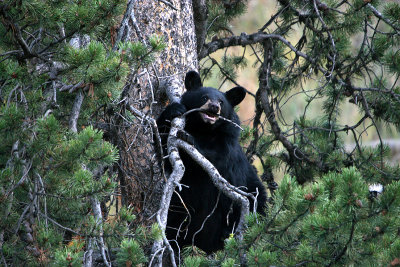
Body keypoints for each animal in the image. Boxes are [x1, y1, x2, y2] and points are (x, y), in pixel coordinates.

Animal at [156, 70, 266, 253]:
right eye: (204, 97)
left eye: (221, 101)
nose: (214, 107)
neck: (204, 130)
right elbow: (161, 148)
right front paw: (173, 110)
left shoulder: (227, 142)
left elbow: (217, 157)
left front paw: (188, 138)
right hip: (178, 209)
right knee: (174, 226)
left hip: (251, 195)